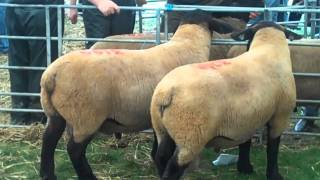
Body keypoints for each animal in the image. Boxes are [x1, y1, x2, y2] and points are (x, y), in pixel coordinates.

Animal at [39, 10, 235, 180]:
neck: (188, 43)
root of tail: (52, 74)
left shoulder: (157, 117)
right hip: (86, 117)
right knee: (74, 150)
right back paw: (88, 176)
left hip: (55, 113)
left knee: (48, 140)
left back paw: (47, 174)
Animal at [151, 21, 302, 180]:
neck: (268, 49)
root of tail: (167, 91)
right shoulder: (280, 115)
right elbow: (273, 148)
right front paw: (274, 175)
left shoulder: (248, 117)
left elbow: (245, 143)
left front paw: (245, 168)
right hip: (190, 136)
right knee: (174, 167)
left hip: (163, 130)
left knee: (161, 157)